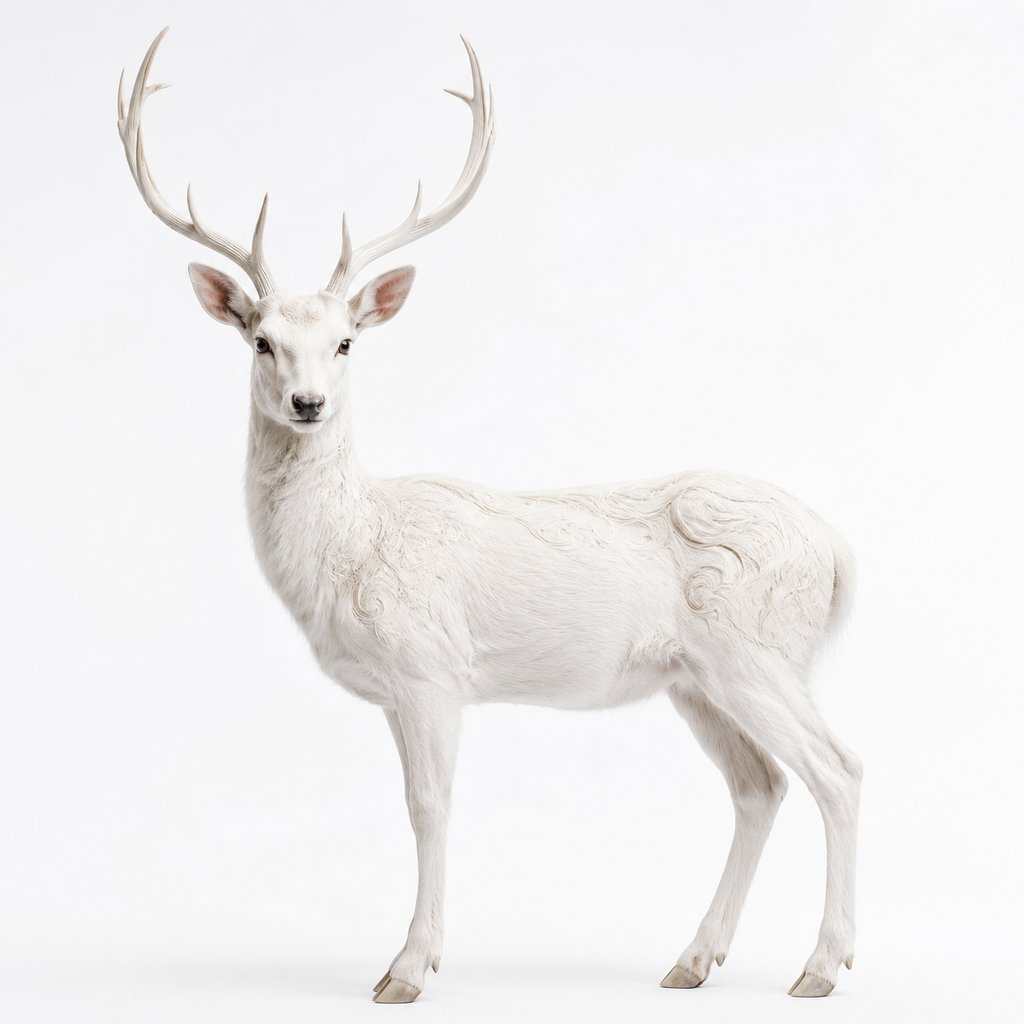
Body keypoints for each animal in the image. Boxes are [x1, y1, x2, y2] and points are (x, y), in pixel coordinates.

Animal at [117, 27, 862, 1005]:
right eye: (262, 341)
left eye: (345, 342)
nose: (310, 403)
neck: (351, 552)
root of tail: (841, 556)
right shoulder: (402, 686)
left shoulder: (431, 664)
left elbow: (429, 805)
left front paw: (407, 969)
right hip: (696, 678)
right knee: (760, 784)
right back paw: (695, 960)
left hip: (759, 648)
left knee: (837, 770)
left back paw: (821, 965)